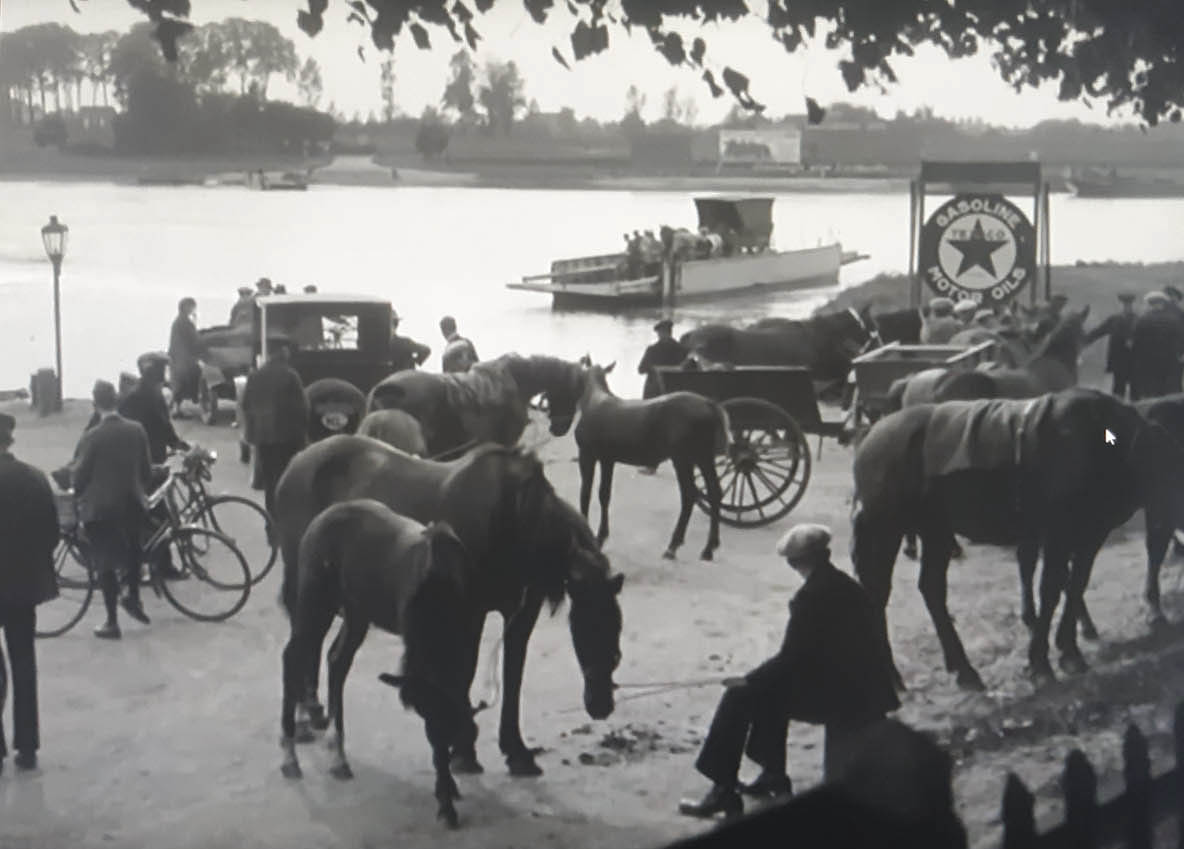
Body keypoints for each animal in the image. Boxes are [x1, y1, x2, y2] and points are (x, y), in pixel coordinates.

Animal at [274, 438, 629, 776]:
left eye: (615, 627)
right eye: (588, 626)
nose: (601, 705)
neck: (512, 518)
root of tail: (296, 463)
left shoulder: (520, 613)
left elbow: (513, 675)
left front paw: (515, 751)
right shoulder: (469, 612)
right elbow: (465, 671)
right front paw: (464, 751)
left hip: (353, 604)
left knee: (329, 654)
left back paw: (317, 719)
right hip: (310, 589)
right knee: (300, 645)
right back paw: (303, 723)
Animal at [279, 499, 473, 824]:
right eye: (425, 721)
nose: (445, 803)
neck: (439, 589)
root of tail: (322, 517)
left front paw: (449, 790)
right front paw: (446, 802)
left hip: (357, 611)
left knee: (337, 660)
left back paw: (338, 757)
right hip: (317, 600)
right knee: (293, 658)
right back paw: (289, 757)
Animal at [575, 359, 729, 563]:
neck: (594, 402)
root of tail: (708, 403)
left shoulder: (587, 455)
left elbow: (585, 493)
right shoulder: (608, 459)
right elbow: (604, 495)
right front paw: (601, 536)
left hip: (683, 457)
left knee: (689, 494)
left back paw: (673, 546)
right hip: (703, 457)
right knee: (714, 491)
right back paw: (710, 547)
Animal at [852, 388, 1184, 691]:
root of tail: (870, 439)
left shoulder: (1090, 535)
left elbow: (1076, 584)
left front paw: (1069, 650)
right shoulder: (1058, 535)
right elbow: (1052, 589)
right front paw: (1040, 662)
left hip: (935, 532)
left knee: (931, 589)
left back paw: (964, 670)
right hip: (885, 531)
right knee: (877, 594)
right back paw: (893, 676)